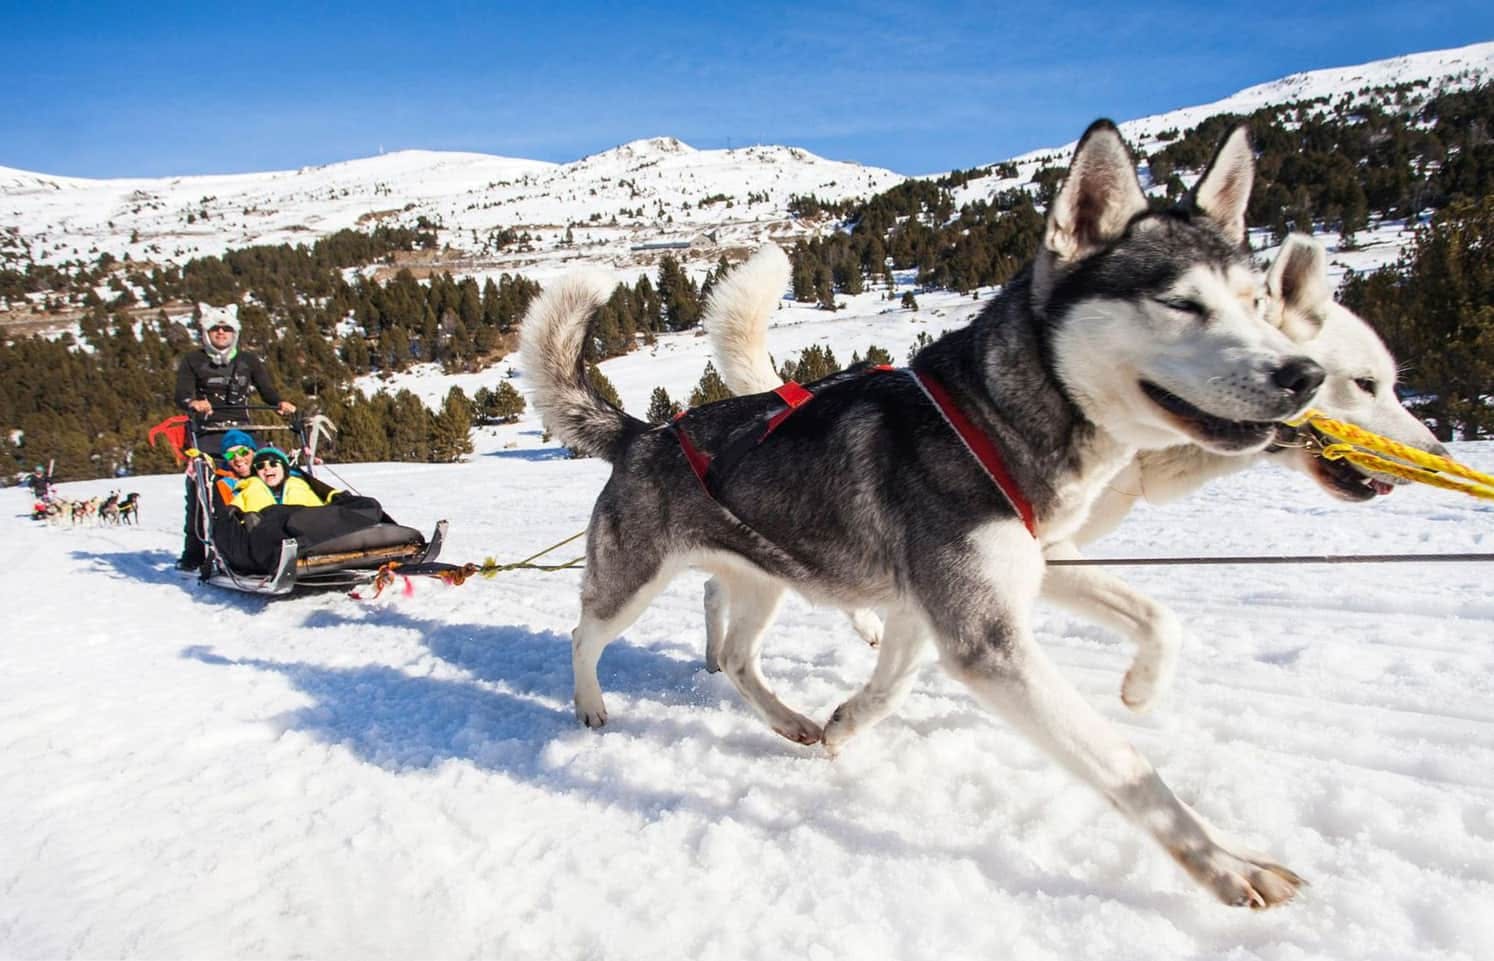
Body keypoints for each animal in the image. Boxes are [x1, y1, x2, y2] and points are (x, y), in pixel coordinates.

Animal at [522, 122, 1320, 908]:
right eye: (1182, 303)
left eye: (1259, 302)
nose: (1303, 375)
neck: (987, 420)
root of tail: (642, 431)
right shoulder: (986, 639)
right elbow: (1122, 763)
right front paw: (1228, 865)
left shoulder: (1008, 573)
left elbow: (1153, 618)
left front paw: (1140, 686)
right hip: (633, 581)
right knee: (584, 633)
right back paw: (590, 703)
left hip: (763, 580)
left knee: (738, 655)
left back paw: (790, 718)